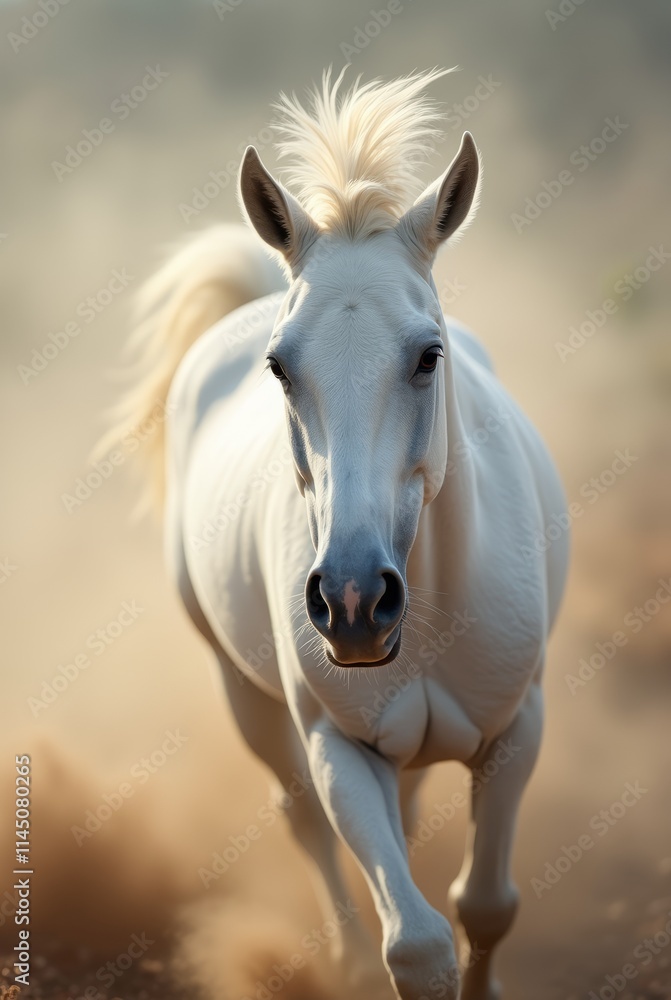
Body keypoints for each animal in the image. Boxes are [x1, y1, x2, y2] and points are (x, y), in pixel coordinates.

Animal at [116, 69, 569, 1000]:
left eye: (428, 355)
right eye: (280, 366)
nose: (354, 602)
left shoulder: (517, 731)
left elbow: (486, 905)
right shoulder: (338, 749)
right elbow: (418, 945)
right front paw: (381, 961)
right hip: (245, 695)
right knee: (302, 822)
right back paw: (345, 961)